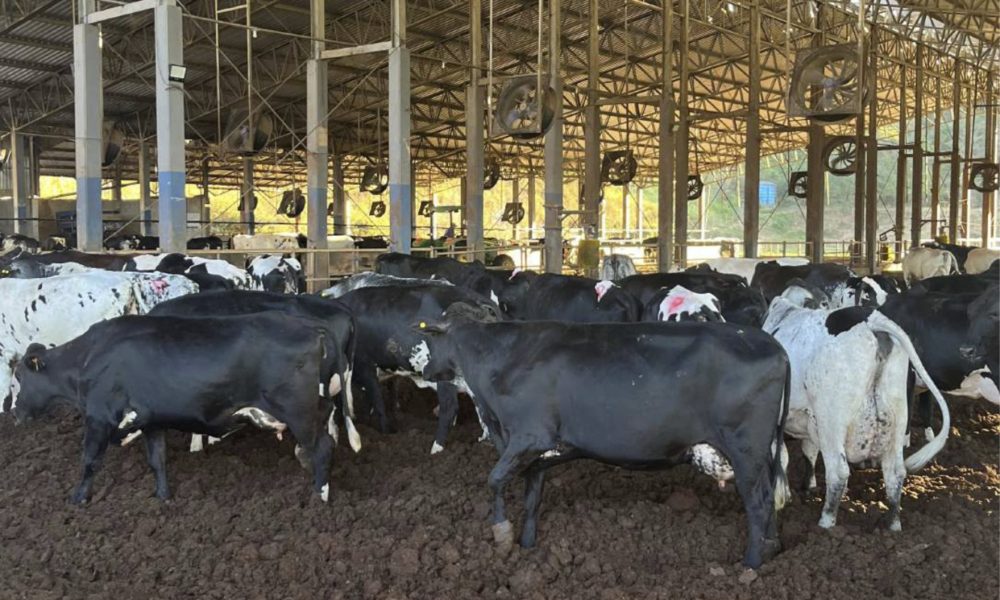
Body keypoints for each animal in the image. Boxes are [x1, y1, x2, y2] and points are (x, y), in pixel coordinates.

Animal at [12, 313, 342, 504]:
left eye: (18, 378)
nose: (15, 414)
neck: (89, 358)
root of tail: (314, 329)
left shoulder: (99, 418)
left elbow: (90, 460)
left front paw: (78, 499)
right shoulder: (151, 421)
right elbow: (157, 460)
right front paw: (163, 497)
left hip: (298, 412)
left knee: (323, 448)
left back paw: (320, 496)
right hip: (315, 407)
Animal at [414, 305, 790, 568]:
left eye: (433, 338)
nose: (426, 369)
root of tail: (773, 345)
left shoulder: (530, 435)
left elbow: (493, 479)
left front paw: (502, 533)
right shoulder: (537, 453)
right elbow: (532, 497)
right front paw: (527, 544)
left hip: (745, 448)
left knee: (757, 503)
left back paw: (751, 565)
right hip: (762, 452)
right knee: (769, 496)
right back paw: (772, 547)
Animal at [763, 287, 950, 531]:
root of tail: (873, 322)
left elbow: (782, 456)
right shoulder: (809, 419)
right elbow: (808, 451)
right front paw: (807, 486)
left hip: (831, 421)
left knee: (838, 472)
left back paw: (826, 522)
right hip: (898, 416)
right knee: (895, 472)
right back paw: (893, 525)